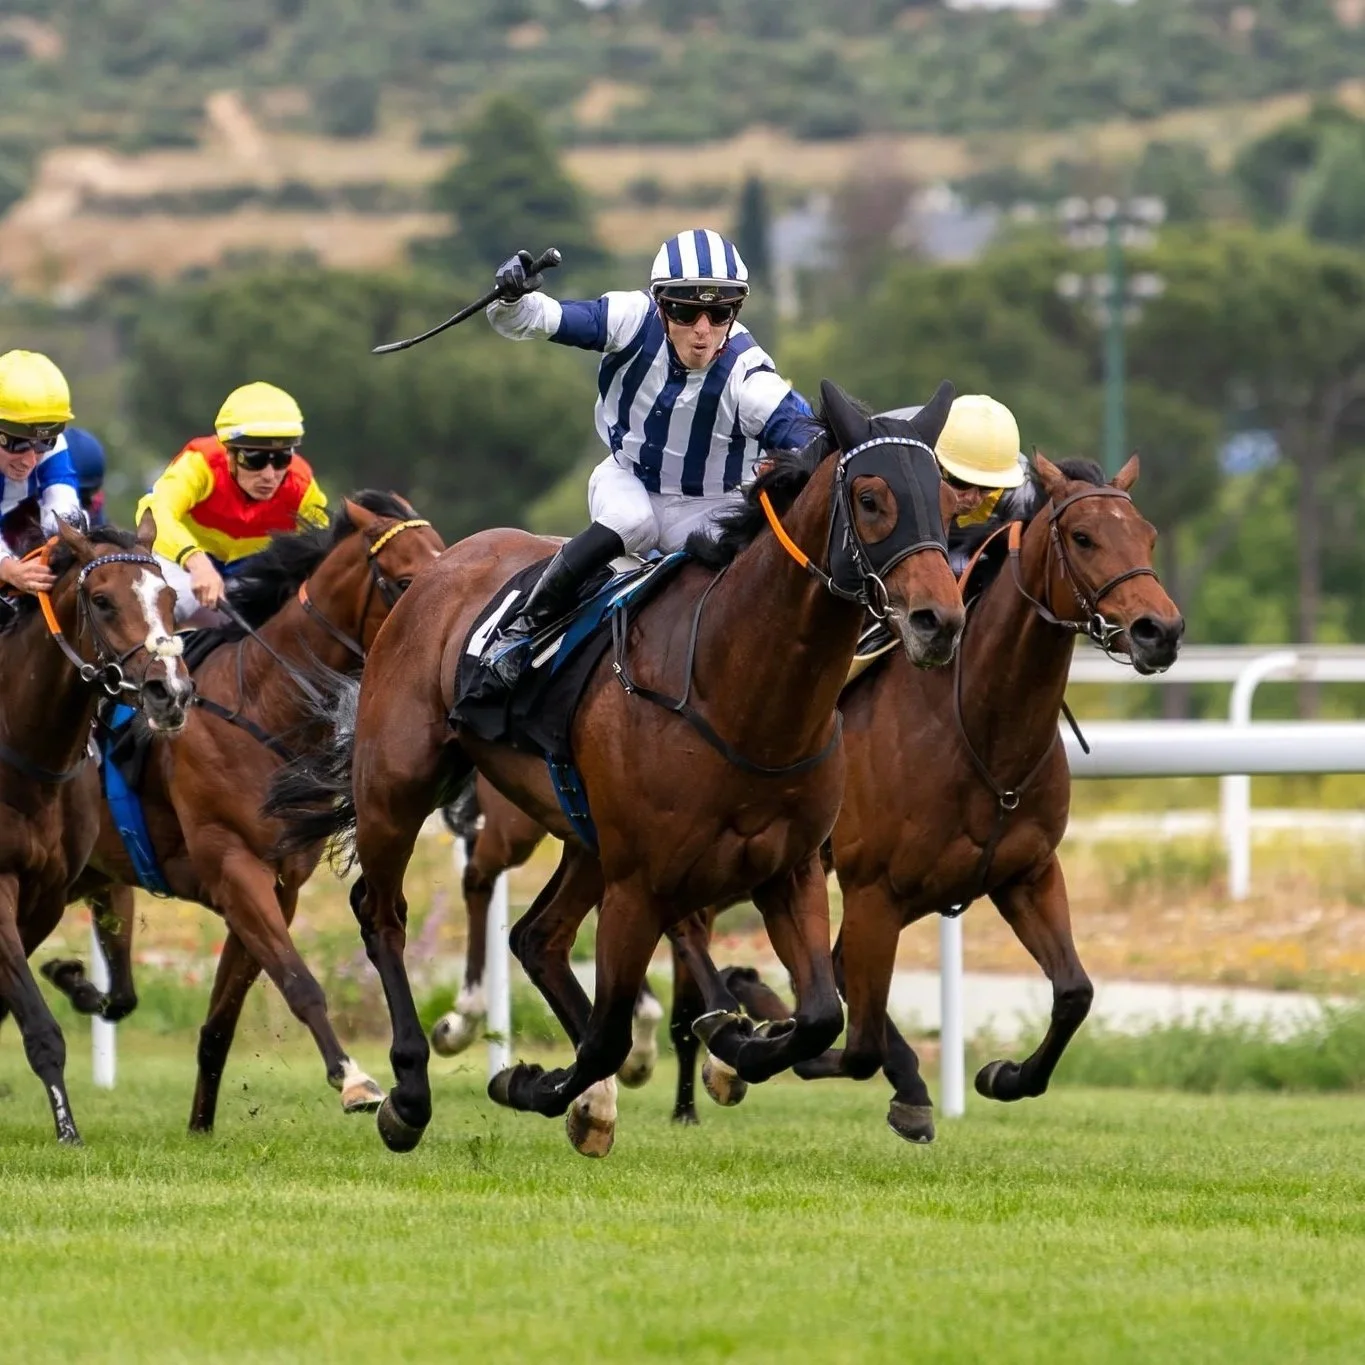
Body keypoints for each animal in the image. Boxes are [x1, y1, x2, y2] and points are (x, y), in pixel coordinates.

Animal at [0, 519, 193, 1142]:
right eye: (103, 601)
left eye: (168, 598)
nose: (170, 693)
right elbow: (38, 1023)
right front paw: (68, 1129)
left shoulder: (45, 896)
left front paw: (73, 978)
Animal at [44, 494, 443, 1134]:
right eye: (405, 581)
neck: (263, 704)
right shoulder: (234, 868)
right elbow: (300, 983)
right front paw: (353, 1080)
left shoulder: (277, 885)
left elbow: (220, 1021)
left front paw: (200, 1126)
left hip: (93, 877)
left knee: (120, 989)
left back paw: (75, 982)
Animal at [267, 380, 972, 1157]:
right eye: (872, 498)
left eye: (948, 505)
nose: (939, 621)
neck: (736, 692)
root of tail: (444, 562)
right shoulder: (642, 879)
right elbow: (608, 1034)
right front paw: (529, 1082)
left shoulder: (788, 868)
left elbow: (819, 1015)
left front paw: (735, 1041)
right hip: (399, 787)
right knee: (384, 914)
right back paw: (410, 1092)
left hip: (583, 833)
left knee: (536, 936)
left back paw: (597, 1097)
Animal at [669, 453, 1185, 1138]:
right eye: (1083, 538)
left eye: (1148, 536)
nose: (1162, 631)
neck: (979, 731)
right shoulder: (875, 890)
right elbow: (854, 1041)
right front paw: (765, 1042)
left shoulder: (1025, 873)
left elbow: (1075, 992)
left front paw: (1004, 1075)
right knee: (685, 927)